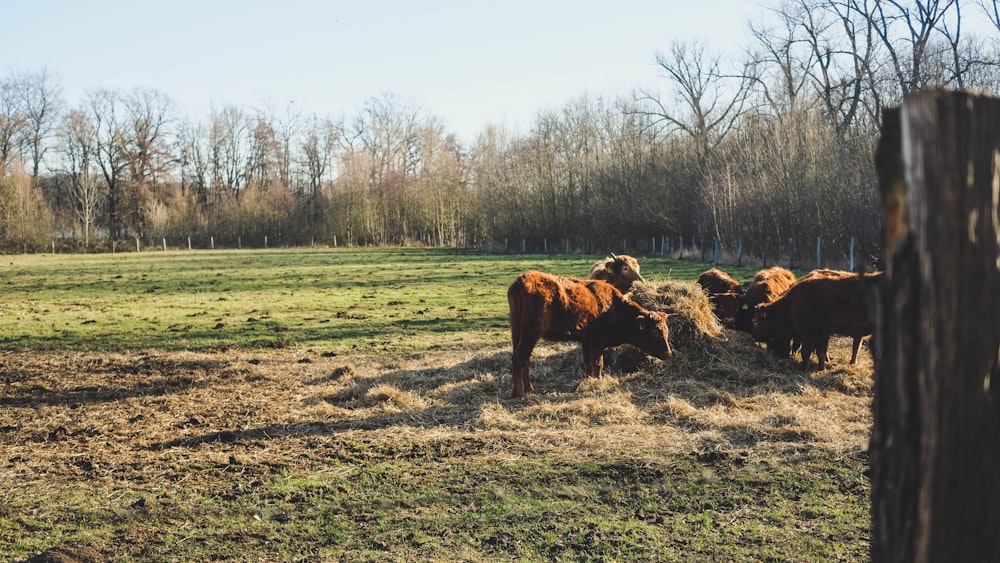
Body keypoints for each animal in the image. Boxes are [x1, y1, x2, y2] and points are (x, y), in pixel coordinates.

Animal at [508, 270, 672, 398]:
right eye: (654, 332)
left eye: (666, 331)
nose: (668, 354)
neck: (613, 307)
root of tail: (522, 281)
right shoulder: (597, 342)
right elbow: (598, 363)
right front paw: (598, 380)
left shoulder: (586, 341)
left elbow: (587, 363)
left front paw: (588, 380)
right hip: (530, 334)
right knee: (519, 357)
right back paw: (519, 393)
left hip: (517, 333)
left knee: (524, 359)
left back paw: (529, 389)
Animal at [752, 274, 880, 370]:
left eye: (757, 321)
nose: (754, 336)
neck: (793, 301)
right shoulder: (822, 333)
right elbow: (821, 352)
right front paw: (821, 368)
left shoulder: (808, 332)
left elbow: (806, 351)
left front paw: (803, 368)